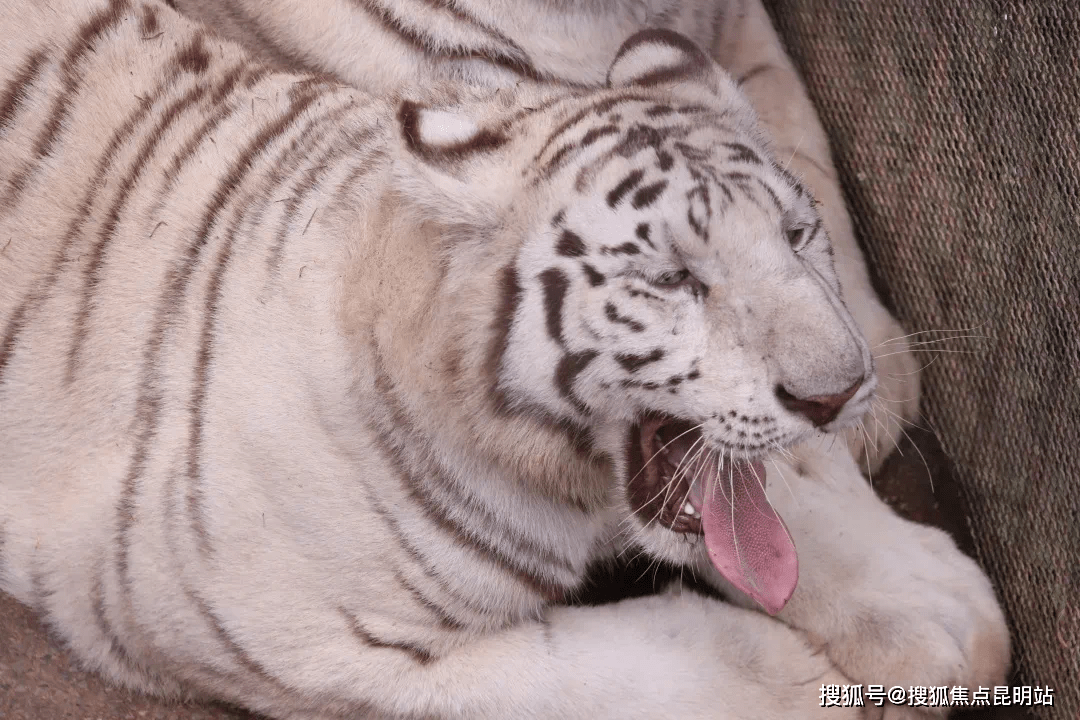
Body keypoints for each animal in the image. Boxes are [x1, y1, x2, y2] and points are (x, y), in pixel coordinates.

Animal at [0, 1, 1006, 720]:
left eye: (800, 235)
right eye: (674, 279)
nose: (838, 392)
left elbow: (784, 488)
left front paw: (937, 607)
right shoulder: (260, 618)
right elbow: (608, 674)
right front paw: (803, 685)